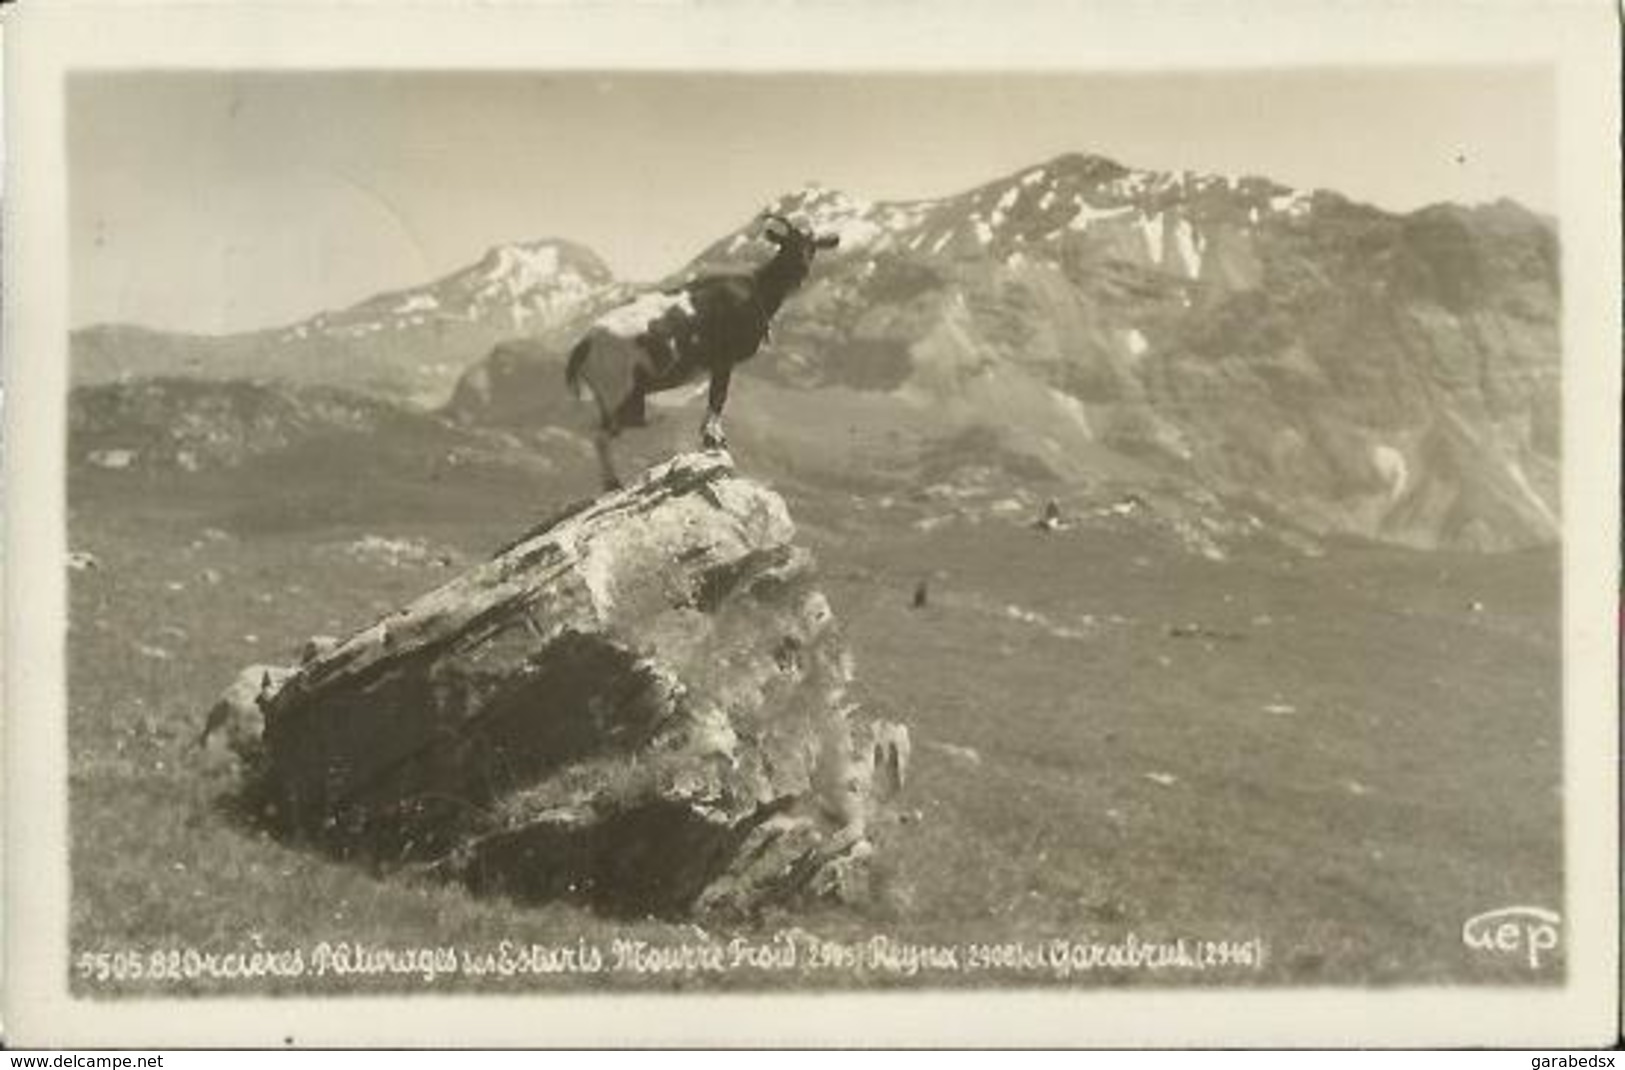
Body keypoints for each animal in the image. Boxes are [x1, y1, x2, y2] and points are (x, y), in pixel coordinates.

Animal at [565, 213, 838, 487]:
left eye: (812, 247)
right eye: (785, 244)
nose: (801, 270)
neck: (756, 290)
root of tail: (584, 345)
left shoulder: (719, 365)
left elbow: (715, 399)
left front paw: (713, 439)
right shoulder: (724, 360)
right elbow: (718, 399)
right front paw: (713, 440)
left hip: (612, 395)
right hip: (618, 389)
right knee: (605, 434)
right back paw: (616, 477)